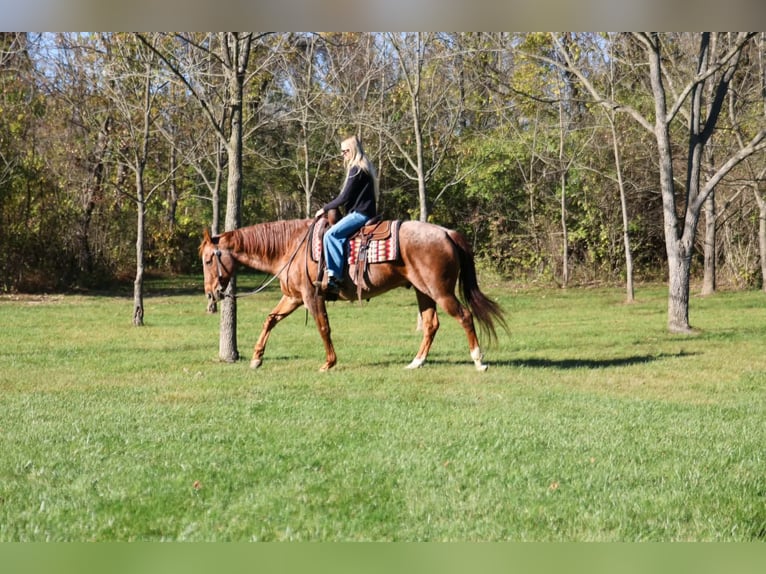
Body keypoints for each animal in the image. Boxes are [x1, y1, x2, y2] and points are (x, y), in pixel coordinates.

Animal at [199, 217, 507, 372]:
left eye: (207, 260)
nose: (211, 294)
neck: (290, 247)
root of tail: (445, 232)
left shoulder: (311, 297)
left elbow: (323, 327)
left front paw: (329, 362)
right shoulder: (294, 297)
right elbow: (270, 320)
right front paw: (256, 358)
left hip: (440, 291)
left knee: (464, 316)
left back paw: (478, 360)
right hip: (424, 292)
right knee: (431, 324)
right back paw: (416, 362)